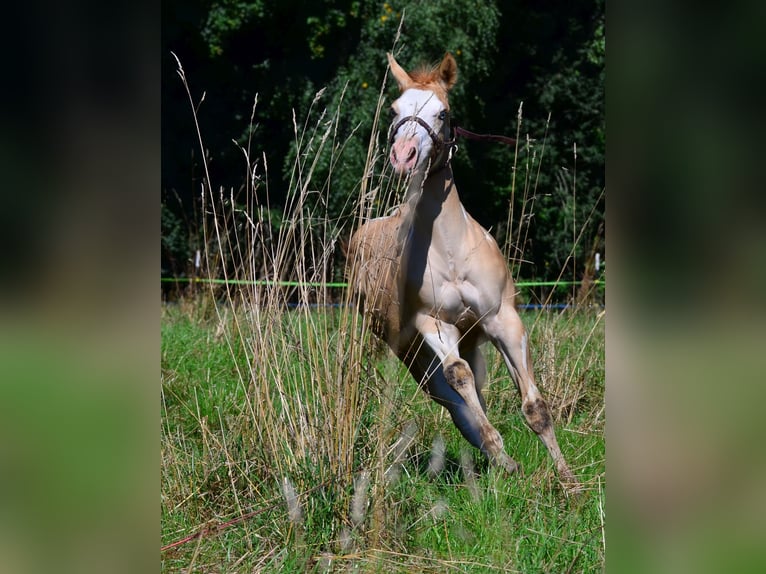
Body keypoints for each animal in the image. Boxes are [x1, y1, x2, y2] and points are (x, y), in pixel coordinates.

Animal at [347, 52, 580, 492]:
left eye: (443, 113)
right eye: (395, 110)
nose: (404, 155)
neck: (450, 250)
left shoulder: (504, 319)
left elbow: (536, 409)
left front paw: (569, 483)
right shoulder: (433, 324)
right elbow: (460, 384)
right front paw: (503, 457)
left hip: (472, 339)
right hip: (413, 354)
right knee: (457, 403)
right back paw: (501, 462)